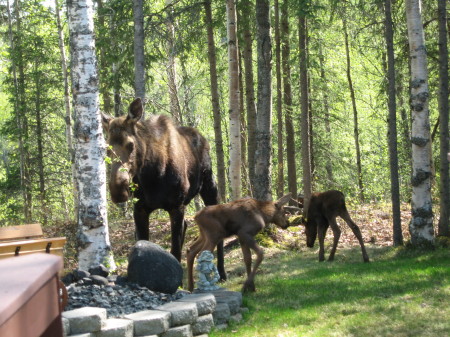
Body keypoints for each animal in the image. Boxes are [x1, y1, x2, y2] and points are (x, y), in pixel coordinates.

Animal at [103, 98, 227, 280]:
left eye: (131, 144)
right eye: (107, 147)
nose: (118, 190)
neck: (152, 176)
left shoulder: (176, 206)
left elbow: (175, 250)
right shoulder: (140, 209)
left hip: (209, 187)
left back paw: (222, 271)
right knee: (186, 226)